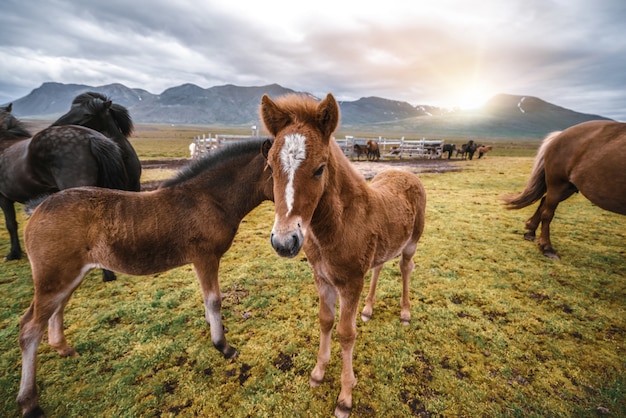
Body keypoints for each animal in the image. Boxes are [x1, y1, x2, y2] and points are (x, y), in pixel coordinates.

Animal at [0, 95, 139, 280]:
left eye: (87, 114)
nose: (53, 124)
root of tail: (91, 137)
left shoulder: (3, 197)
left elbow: (11, 224)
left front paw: (13, 253)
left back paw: (107, 274)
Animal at [14, 138, 272, 418]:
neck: (209, 199)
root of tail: (38, 209)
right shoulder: (205, 256)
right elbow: (214, 299)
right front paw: (223, 346)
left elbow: (207, 298)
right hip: (54, 277)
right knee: (29, 329)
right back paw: (29, 401)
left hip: (68, 276)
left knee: (54, 310)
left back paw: (63, 348)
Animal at [258, 94, 424, 418]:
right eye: (270, 166)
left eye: (320, 168)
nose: (284, 242)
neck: (335, 228)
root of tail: (404, 171)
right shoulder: (322, 279)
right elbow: (325, 320)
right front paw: (318, 372)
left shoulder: (350, 283)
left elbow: (347, 333)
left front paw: (345, 396)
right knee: (380, 268)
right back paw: (369, 309)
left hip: (411, 244)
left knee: (406, 269)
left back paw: (405, 313)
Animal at [502, 119, 624, 258]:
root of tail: (560, 134)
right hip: (559, 185)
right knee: (547, 213)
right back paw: (547, 247)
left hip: (568, 187)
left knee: (543, 202)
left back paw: (530, 232)